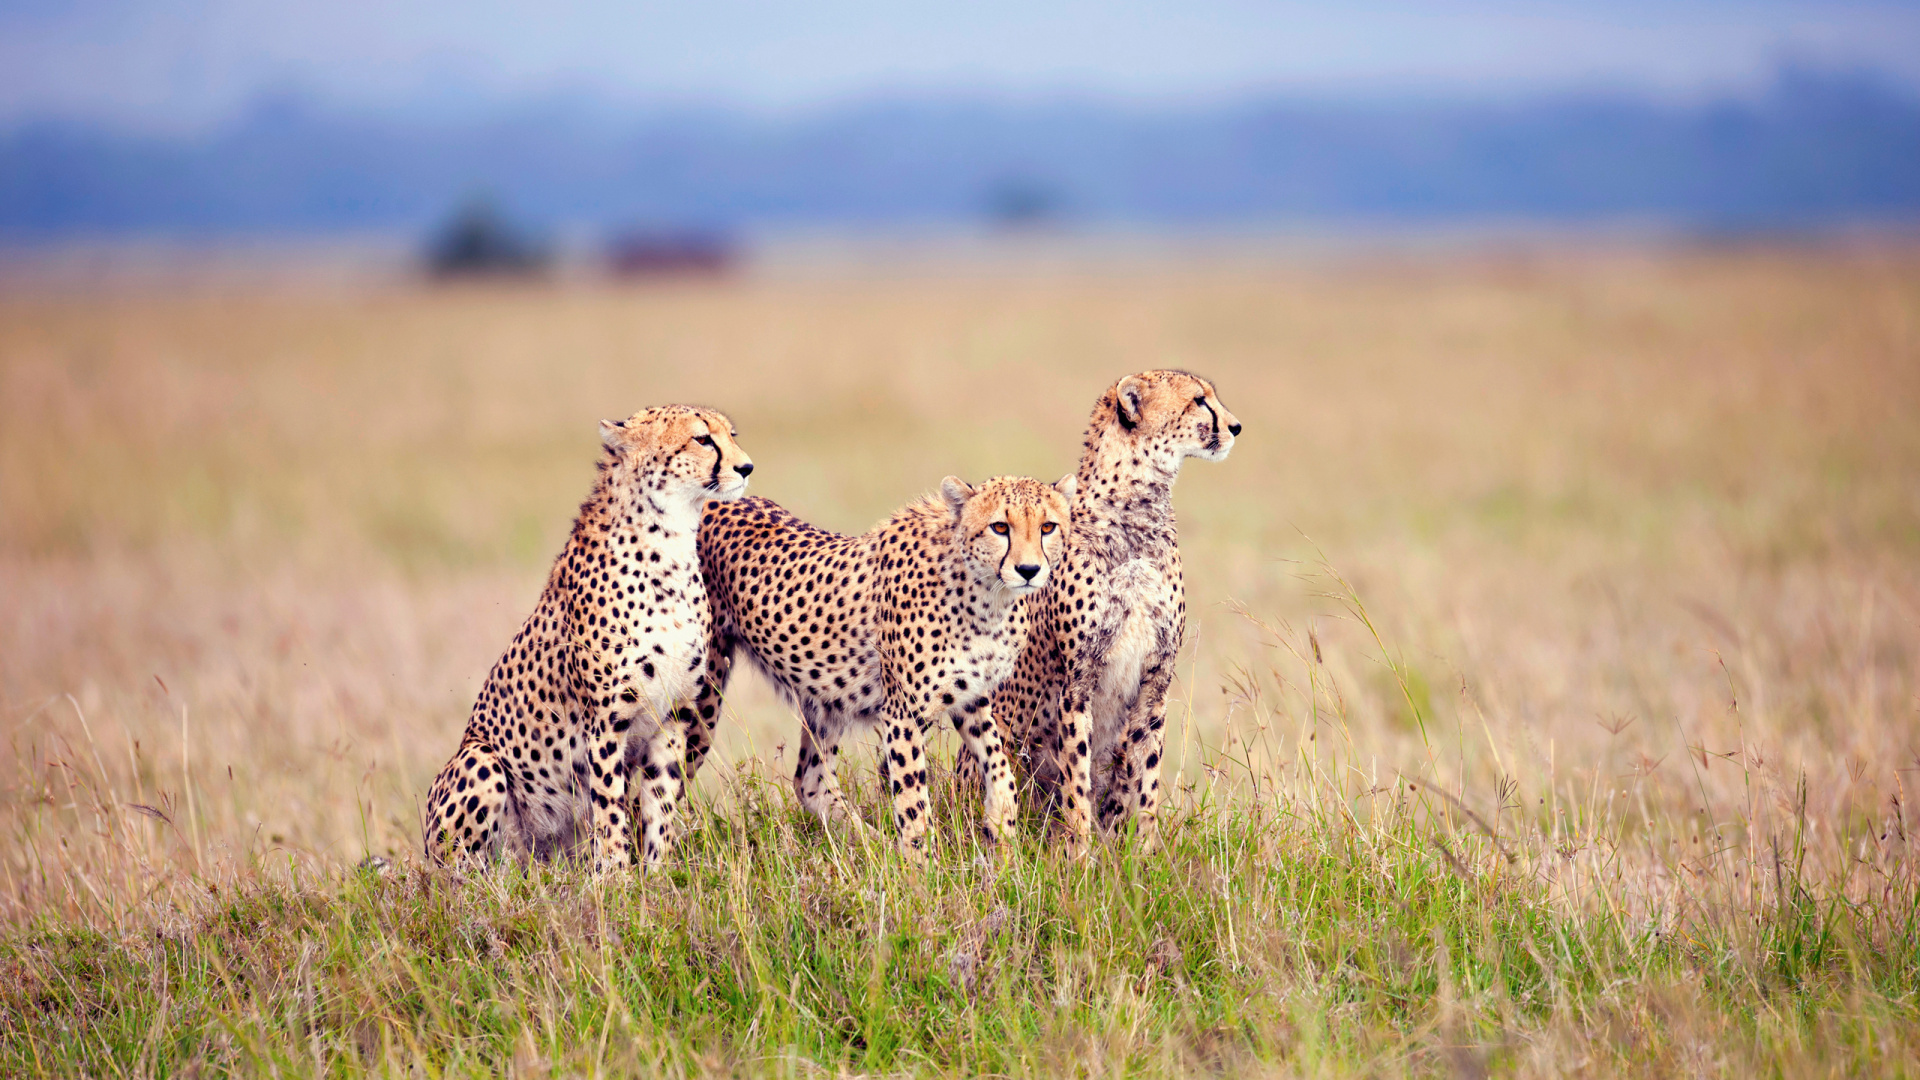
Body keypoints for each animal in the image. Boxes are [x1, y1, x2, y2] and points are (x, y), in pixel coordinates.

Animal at [424, 401, 752, 864]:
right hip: (479, 759)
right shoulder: (606, 722)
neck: (669, 546)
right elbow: (610, 809)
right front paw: (617, 875)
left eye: (731, 435)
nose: (746, 467)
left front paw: (659, 871)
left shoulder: (673, 716)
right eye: (702, 438)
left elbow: (659, 805)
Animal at [683, 474, 1082, 853]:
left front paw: (1001, 828)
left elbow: (1000, 766)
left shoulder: (970, 696)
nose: (1029, 569)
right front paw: (921, 870)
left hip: (826, 698)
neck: (986, 595)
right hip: (704, 689)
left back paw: (872, 846)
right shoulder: (904, 713)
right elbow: (914, 804)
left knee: (810, 781)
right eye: (1000, 527)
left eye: (1048, 526)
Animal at [990, 368, 1244, 841]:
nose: (1236, 427)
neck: (1138, 512)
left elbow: (1146, 773)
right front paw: (1080, 850)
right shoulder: (1077, 682)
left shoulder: (1157, 677)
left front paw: (1142, 849)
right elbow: (1077, 778)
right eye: (1199, 400)